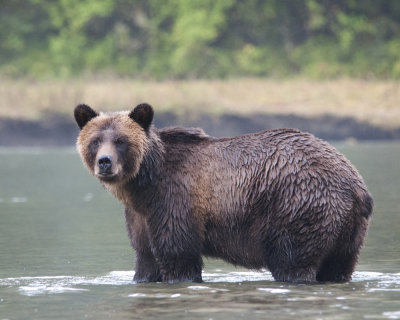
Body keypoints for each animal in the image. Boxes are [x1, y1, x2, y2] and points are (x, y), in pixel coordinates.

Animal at [74, 104, 372, 284]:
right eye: (96, 140)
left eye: (121, 141)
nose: (105, 162)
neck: (144, 184)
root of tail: (356, 185)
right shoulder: (141, 215)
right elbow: (145, 258)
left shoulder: (175, 201)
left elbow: (178, 255)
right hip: (348, 231)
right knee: (338, 266)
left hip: (298, 205)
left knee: (293, 262)